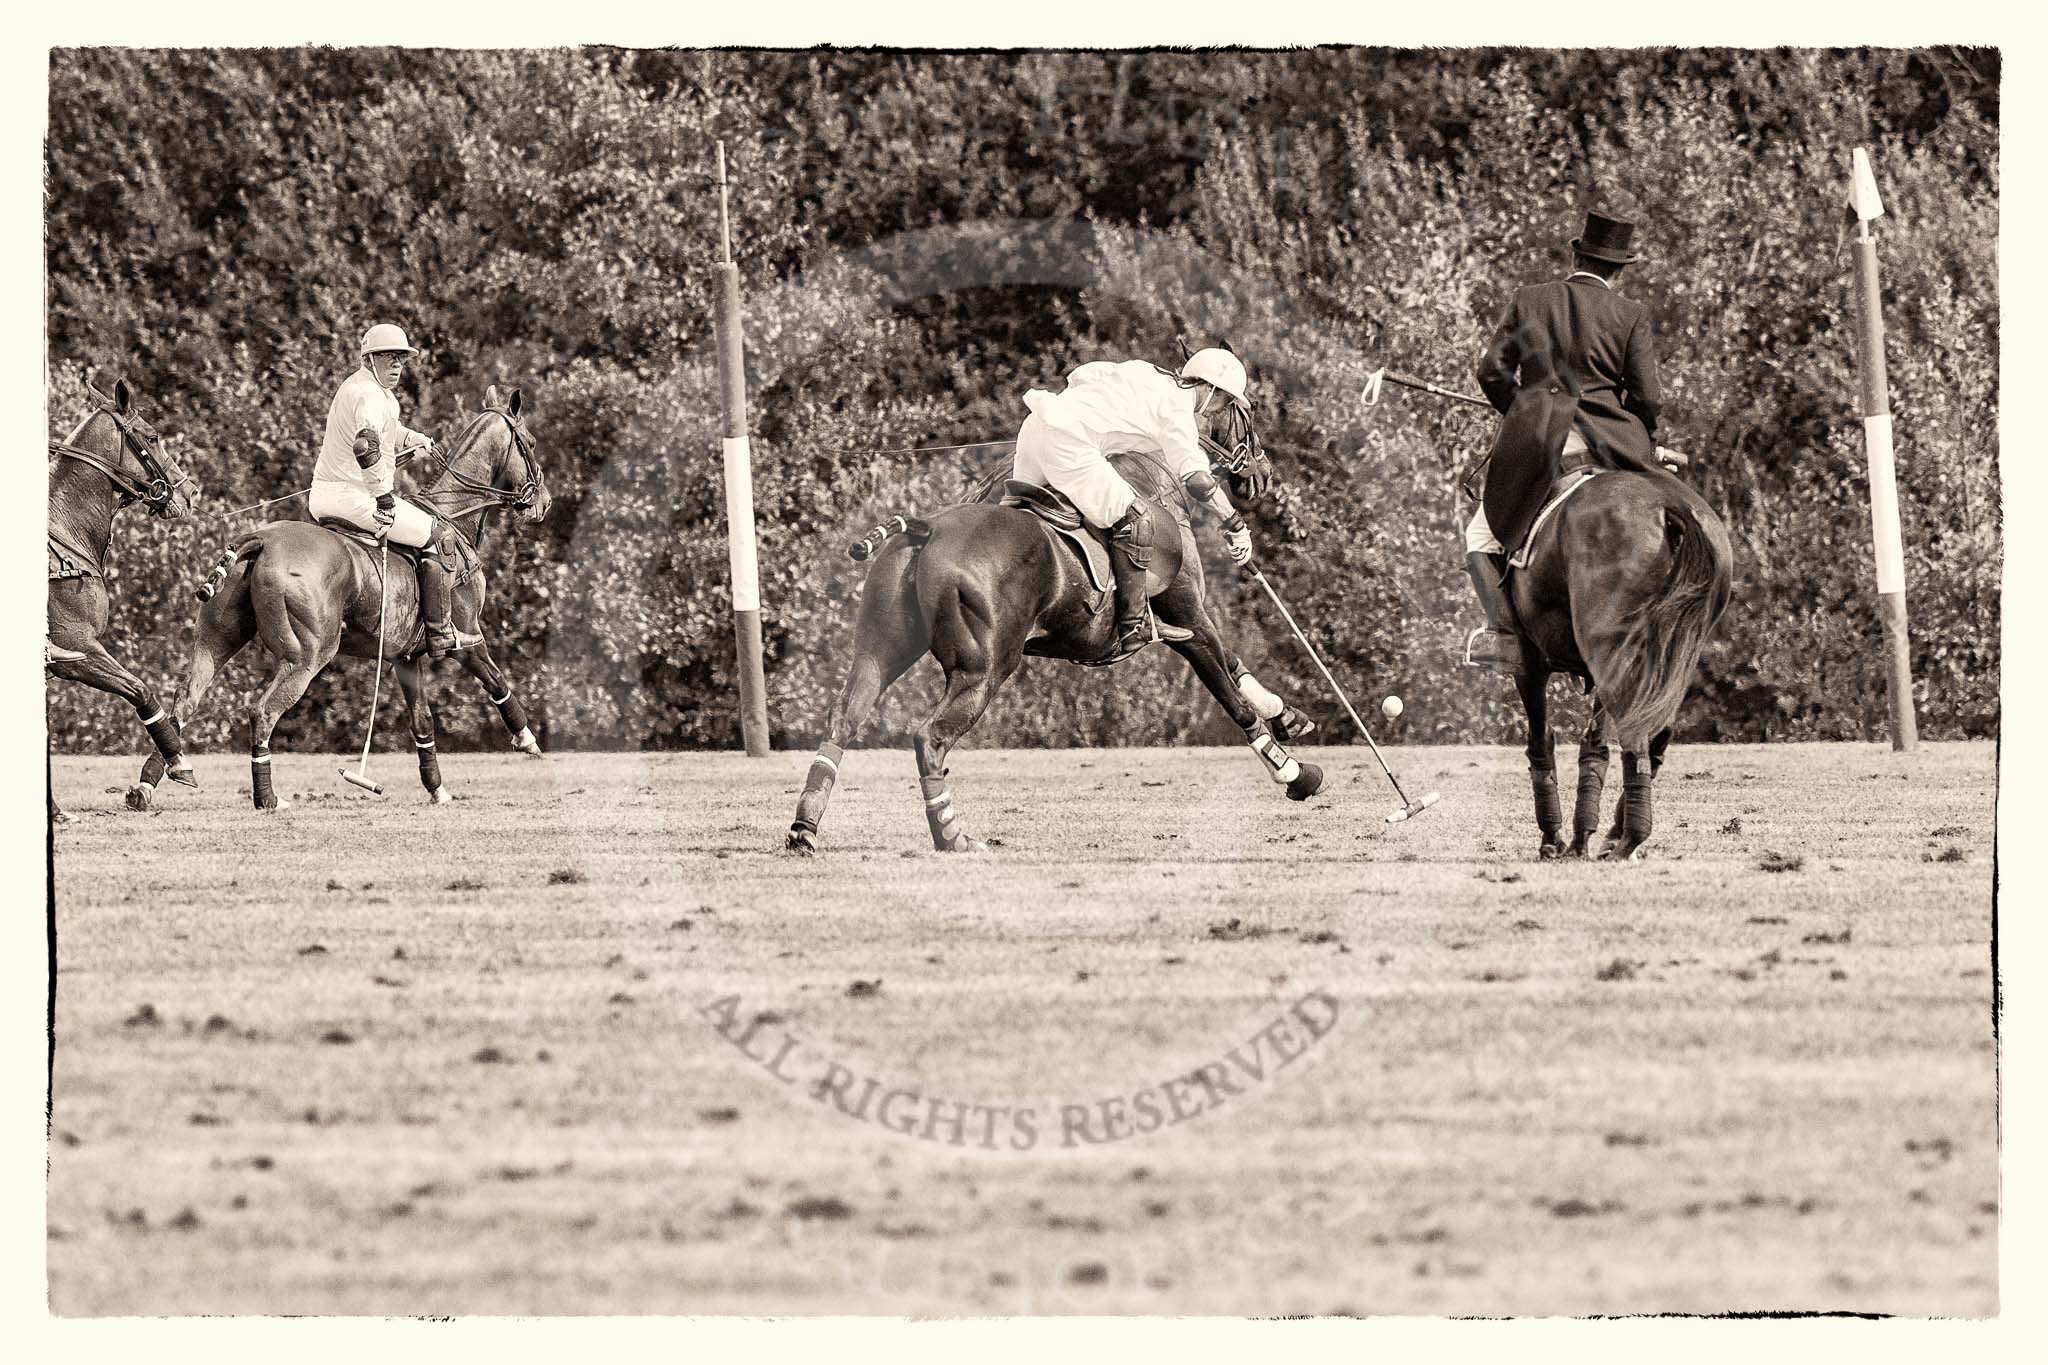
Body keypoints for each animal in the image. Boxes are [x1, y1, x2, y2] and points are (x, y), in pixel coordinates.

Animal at [46, 376, 199, 822]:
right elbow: (141, 690)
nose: (191, 493)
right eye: (153, 435)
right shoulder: (76, 649)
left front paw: (55, 810)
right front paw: (179, 763)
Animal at [148, 384, 548, 810]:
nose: (544, 503)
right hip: (307, 654)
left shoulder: (405, 657)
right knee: (262, 711)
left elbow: (423, 721)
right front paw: (527, 740)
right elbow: (497, 680)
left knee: (185, 698)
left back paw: (151, 782)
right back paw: (268, 798)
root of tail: (259, 539)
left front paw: (437, 788)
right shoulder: (466, 637)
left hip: (218, 637)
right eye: (531, 442)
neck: (454, 519)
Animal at [782, 448, 1327, 855]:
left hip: (879, 651)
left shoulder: (1184, 625)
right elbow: (1227, 690)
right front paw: (1295, 772)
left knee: (843, 719)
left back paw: (805, 827)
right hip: (984, 669)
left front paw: (1290, 717)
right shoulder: (1188, 614)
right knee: (928, 738)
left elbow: (1232, 669)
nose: (1262, 474)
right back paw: (952, 836)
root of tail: (926, 528)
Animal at [1507, 464, 1728, 859]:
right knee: (1654, 734)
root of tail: (1670, 507)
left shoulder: (1528, 660)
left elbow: (1541, 740)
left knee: (1635, 736)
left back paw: (1628, 840)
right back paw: (1617, 835)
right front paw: (1580, 837)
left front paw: (1554, 838)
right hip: (1667, 654)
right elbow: (1593, 744)